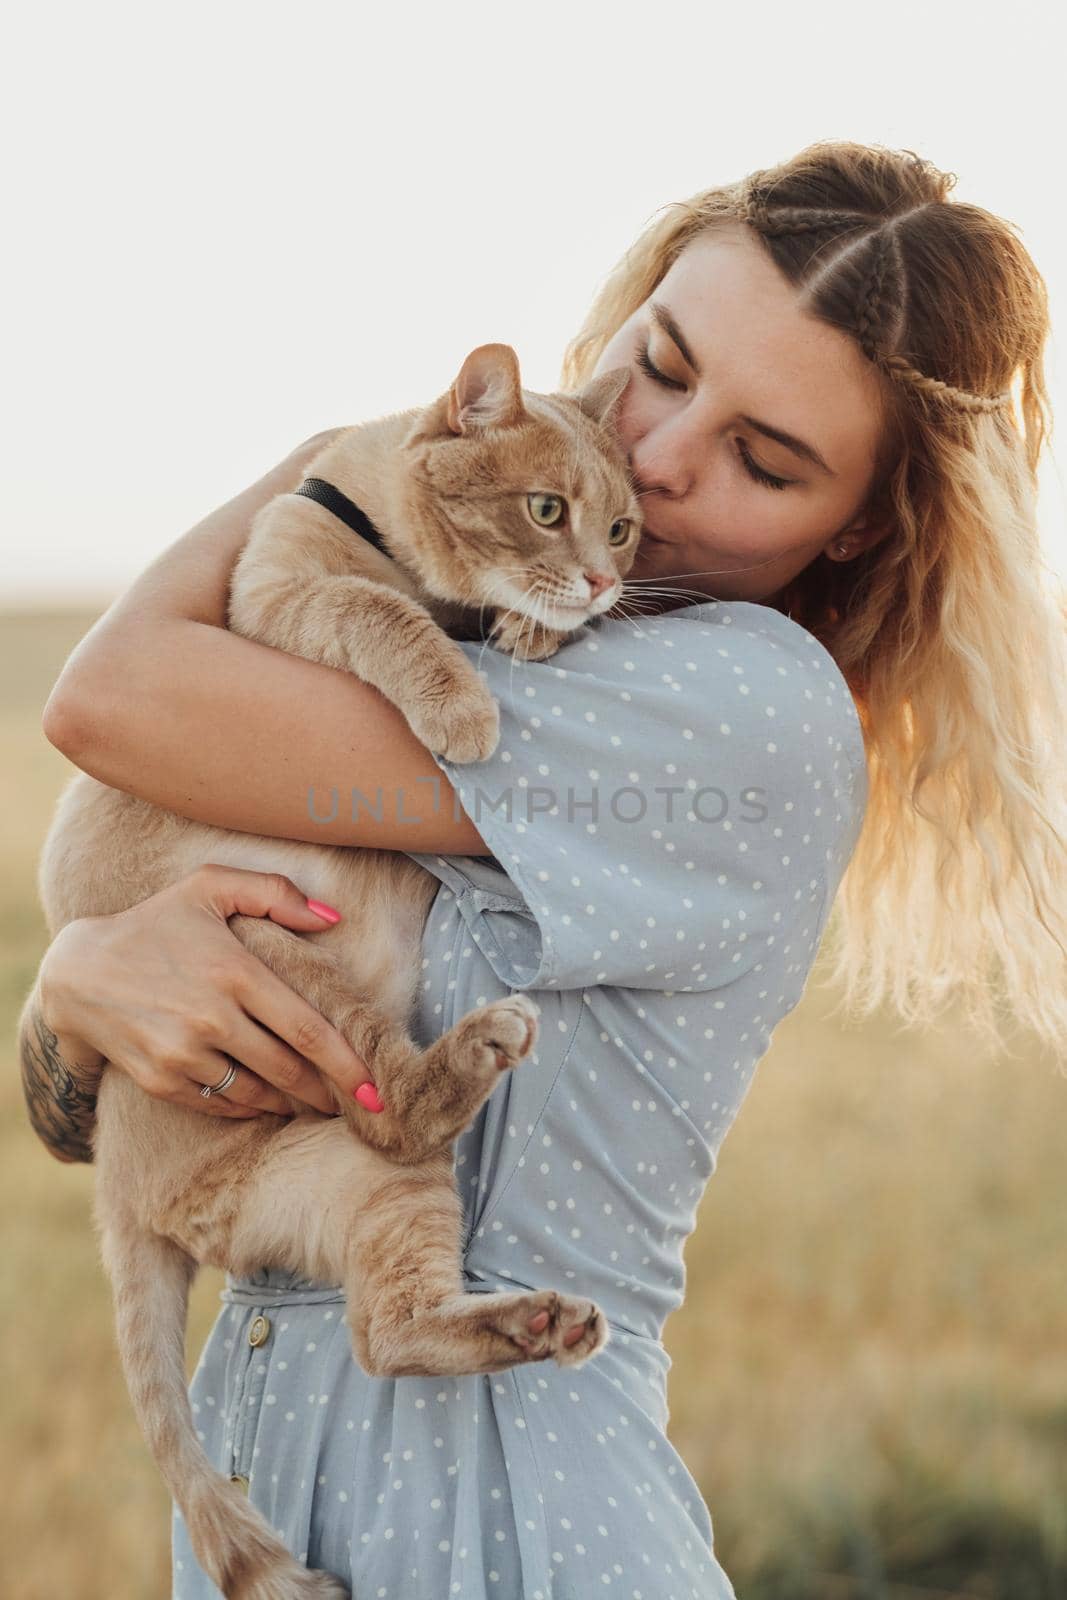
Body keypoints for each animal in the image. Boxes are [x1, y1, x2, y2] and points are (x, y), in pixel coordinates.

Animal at [37, 350, 643, 1600]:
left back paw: (535, 1327)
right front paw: (464, 696)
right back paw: (481, 1054)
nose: (604, 578)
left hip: (366, 1182)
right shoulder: (279, 599)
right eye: (545, 509)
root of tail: (115, 1182)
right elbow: (387, 614)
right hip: (275, 967)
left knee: (390, 1327)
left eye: (621, 524)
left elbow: (472, 619)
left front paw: (531, 630)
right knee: (397, 1121)